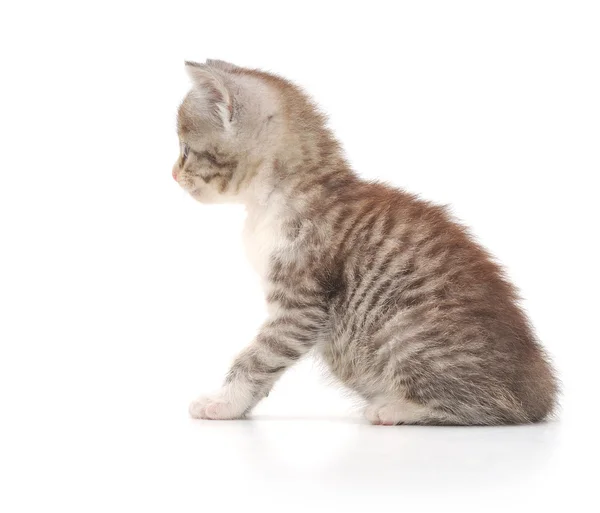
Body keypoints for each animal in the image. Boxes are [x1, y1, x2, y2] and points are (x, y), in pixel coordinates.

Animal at [175, 59, 556, 424]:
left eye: (186, 150)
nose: (173, 174)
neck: (277, 197)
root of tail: (538, 392)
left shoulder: (300, 305)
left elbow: (260, 355)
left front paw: (224, 402)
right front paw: (239, 406)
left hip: (404, 330)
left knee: (487, 406)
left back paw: (395, 409)